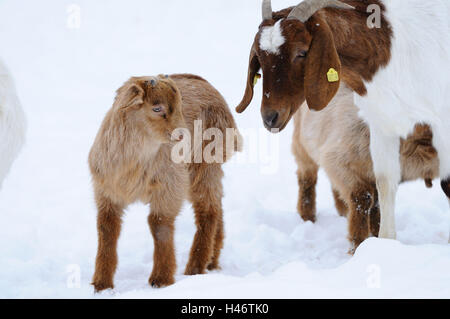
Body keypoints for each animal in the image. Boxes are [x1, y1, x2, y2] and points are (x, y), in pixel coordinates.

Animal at [89, 74, 243, 292]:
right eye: (156, 108)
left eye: (179, 105)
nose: (182, 135)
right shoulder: (107, 191)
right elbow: (107, 228)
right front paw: (102, 284)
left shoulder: (170, 185)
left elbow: (159, 224)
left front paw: (161, 279)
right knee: (217, 205)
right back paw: (211, 262)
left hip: (205, 164)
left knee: (208, 212)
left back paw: (195, 268)